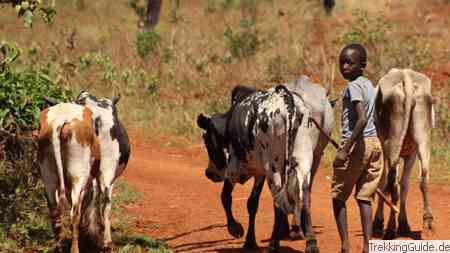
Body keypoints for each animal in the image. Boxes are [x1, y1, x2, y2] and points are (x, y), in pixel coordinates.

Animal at [37, 102, 100, 253]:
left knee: (55, 212)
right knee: (74, 214)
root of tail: (61, 120)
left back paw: (58, 247)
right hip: (78, 178)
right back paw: (74, 249)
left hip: (48, 177)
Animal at [197, 75, 334, 253]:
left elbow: (225, 197)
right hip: (303, 163)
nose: (209, 173)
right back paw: (310, 242)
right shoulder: (260, 173)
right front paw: (250, 241)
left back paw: (274, 243)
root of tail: (288, 104)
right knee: (305, 196)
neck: (231, 120)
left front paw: (236, 229)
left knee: (278, 202)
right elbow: (252, 204)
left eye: (207, 140)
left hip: (274, 169)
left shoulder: (234, 168)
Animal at [370, 68, 434, 239]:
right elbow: (405, 184)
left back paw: (390, 228)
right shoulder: (411, 154)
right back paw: (428, 221)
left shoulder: (385, 148)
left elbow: (384, 182)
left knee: (392, 182)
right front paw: (404, 224)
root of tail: (406, 76)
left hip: (392, 142)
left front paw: (379, 223)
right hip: (423, 139)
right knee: (423, 178)